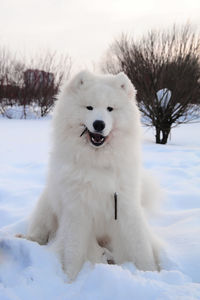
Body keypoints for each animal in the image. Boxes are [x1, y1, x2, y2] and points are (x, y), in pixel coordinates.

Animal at [26, 71, 161, 282]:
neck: (98, 162)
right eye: (89, 107)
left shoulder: (125, 205)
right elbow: (73, 250)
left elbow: (139, 245)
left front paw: (151, 273)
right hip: (47, 208)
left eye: (110, 108)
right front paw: (70, 280)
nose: (99, 124)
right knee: (40, 232)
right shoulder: (77, 211)